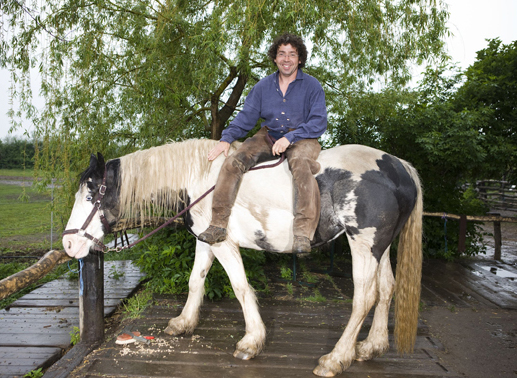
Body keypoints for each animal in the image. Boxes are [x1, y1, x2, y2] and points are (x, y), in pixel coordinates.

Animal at [62, 138, 422, 376]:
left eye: (92, 195)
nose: (68, 245)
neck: (201, 178)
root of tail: (400, 168)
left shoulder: (224, 245)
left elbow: (240, 287)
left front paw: (251, 341)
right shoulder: (206, 241)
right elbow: (195, 280)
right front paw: (183, 323)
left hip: (363, 243)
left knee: (365, 297)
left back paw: (336, 358)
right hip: (381, 247)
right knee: (386, 290)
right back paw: (371, 347)